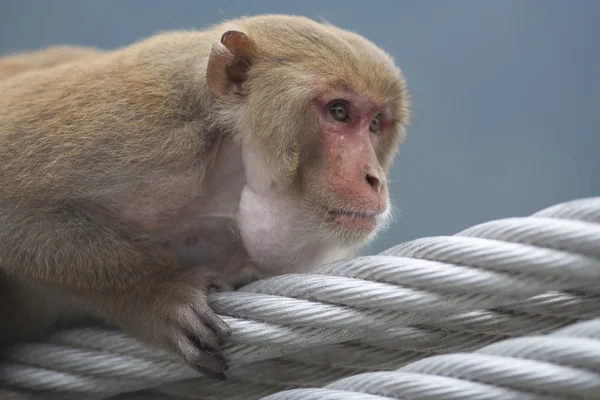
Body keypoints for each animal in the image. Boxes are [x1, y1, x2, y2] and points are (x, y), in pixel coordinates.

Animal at [0, 14, 408, 380]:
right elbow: (12, 205)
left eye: (375, 124)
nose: (375, 179)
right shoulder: (142, 127)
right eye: (339, 111)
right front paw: (157, 293)